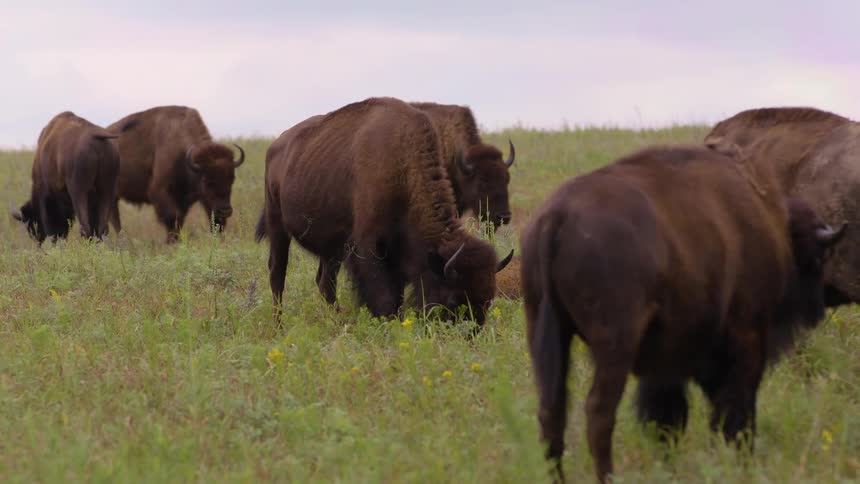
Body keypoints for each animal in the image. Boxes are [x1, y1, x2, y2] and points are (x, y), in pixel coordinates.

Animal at [11, 111, 134, 242]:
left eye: (31, 220)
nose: (37, 239)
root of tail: (96, 137)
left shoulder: (46, 195)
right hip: (107, 192)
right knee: (101, 229)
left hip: (79, 193)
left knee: (86, 228)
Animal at [107, 105, 245, 243]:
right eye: (206, 181)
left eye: (232, 179)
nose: (225, 211)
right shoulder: (161, 192)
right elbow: (172, 218)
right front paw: (172, 242)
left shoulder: (185, 201)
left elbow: (181, 220)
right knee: (114, 218)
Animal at [261, 97, 512, 325]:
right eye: (452, 300)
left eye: (488, 300)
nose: (469, 334)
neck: (402, 171)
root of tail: (275, 146)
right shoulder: (368, 247)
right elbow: (384, 297)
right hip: (277, 225)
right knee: (277, 274)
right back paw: (278, 326)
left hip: (330, 247)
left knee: (325, 282)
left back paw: (337, 321)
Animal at [520, 145, 845, 483]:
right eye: (818, 258)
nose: (820, 306)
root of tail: (556, 217)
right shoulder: (746, 338)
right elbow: (737, 407)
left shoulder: (667, 363)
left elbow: (670, 417)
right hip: (615, 344)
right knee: (598, 411)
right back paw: (608, 476)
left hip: (547, 330)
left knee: (552, 412)